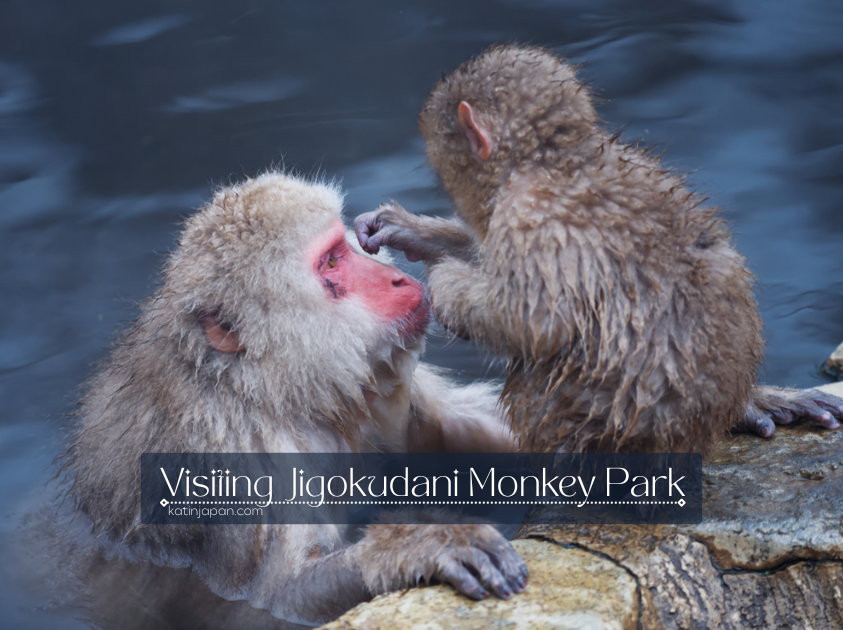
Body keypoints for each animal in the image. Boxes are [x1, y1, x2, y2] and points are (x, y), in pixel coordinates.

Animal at [46, 171, 528, 629]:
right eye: (330, 262)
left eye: (343, 249)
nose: (396, 279)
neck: (271, 389)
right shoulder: (240, 466)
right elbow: (271, 600)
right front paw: (430, 541)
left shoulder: (361, 388)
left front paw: (426, 235)